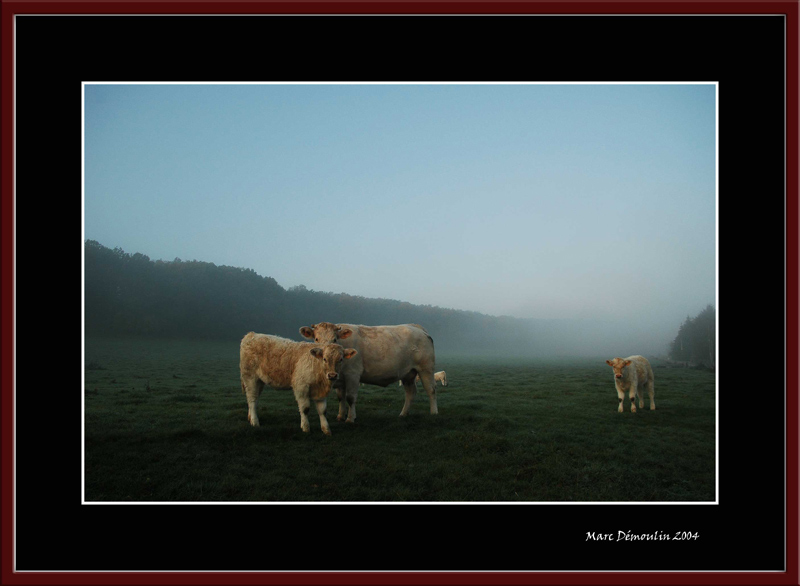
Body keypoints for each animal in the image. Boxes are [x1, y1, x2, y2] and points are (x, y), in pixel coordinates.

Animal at [300, 320, 438, 420]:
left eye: (334, 339)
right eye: (316, 339)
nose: (326, 353)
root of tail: (416, 327)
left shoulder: (353, 374)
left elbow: (350, 397)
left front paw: (350, 418)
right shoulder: (339, 377)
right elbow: (341, 397)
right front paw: (340, 416)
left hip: (426, 368)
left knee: (431, 389)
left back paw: (434, 412)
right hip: (408, 373)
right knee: (410, 392)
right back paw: (403, 414)